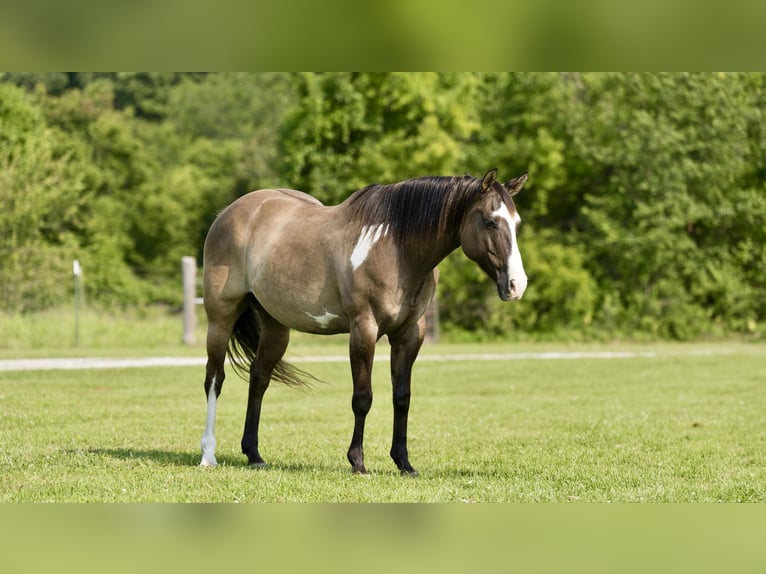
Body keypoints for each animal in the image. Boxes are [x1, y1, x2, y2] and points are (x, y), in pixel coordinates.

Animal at [198, 168, 528, 476]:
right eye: (489, 221)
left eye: (516, 224)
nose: (517, 285)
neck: (396, 248)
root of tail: (228, 213)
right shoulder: (363, 329)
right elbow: (363, 397)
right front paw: (357, 461)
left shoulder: (409, 334)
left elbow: (402, 397)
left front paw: (404, 462)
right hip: (220, 319)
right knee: (215, 379)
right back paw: (208, 455)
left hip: (276, 325)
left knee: (259, 378)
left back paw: (254, 454)